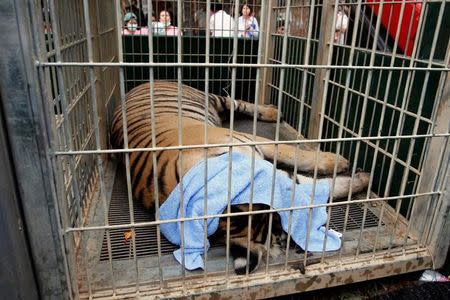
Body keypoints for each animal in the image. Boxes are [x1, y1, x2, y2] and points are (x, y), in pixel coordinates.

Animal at [111, 80, 370, 274]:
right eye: (283, 237)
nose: (302, 252)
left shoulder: (253, 142)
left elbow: (294, 153)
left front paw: (338, 162)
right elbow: (314, 183)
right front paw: (358, 178)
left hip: (213, 99)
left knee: (238, 103)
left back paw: (273, 111)